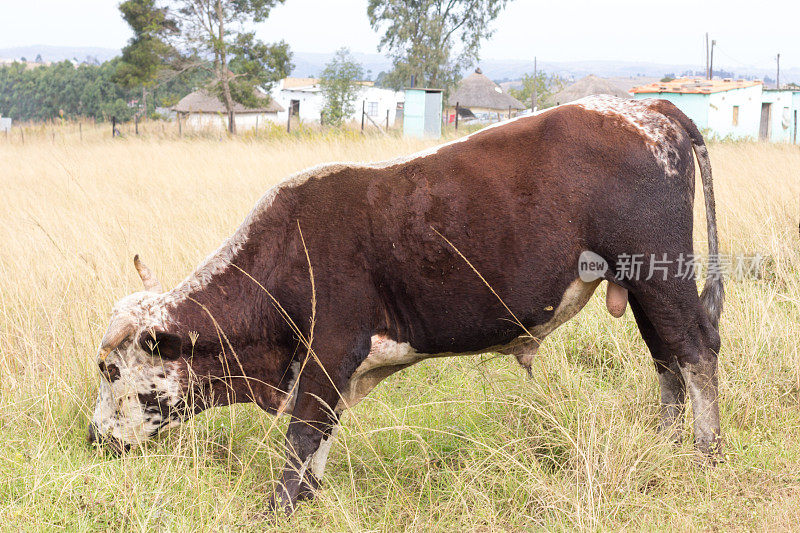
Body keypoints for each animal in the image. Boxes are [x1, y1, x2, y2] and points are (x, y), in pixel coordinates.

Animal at [89, 94, 724, 512]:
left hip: (660, 276)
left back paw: (705, 455)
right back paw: (665, 448)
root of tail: (650, 108)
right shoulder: (334, 368)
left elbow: (303, 434)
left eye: (111, 369)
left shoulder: (329, 350)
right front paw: (311, 495)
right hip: (643, 286)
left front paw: (281, 505)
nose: (95, 439)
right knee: (667, 358)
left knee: (695, 351)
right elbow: (321, 433)